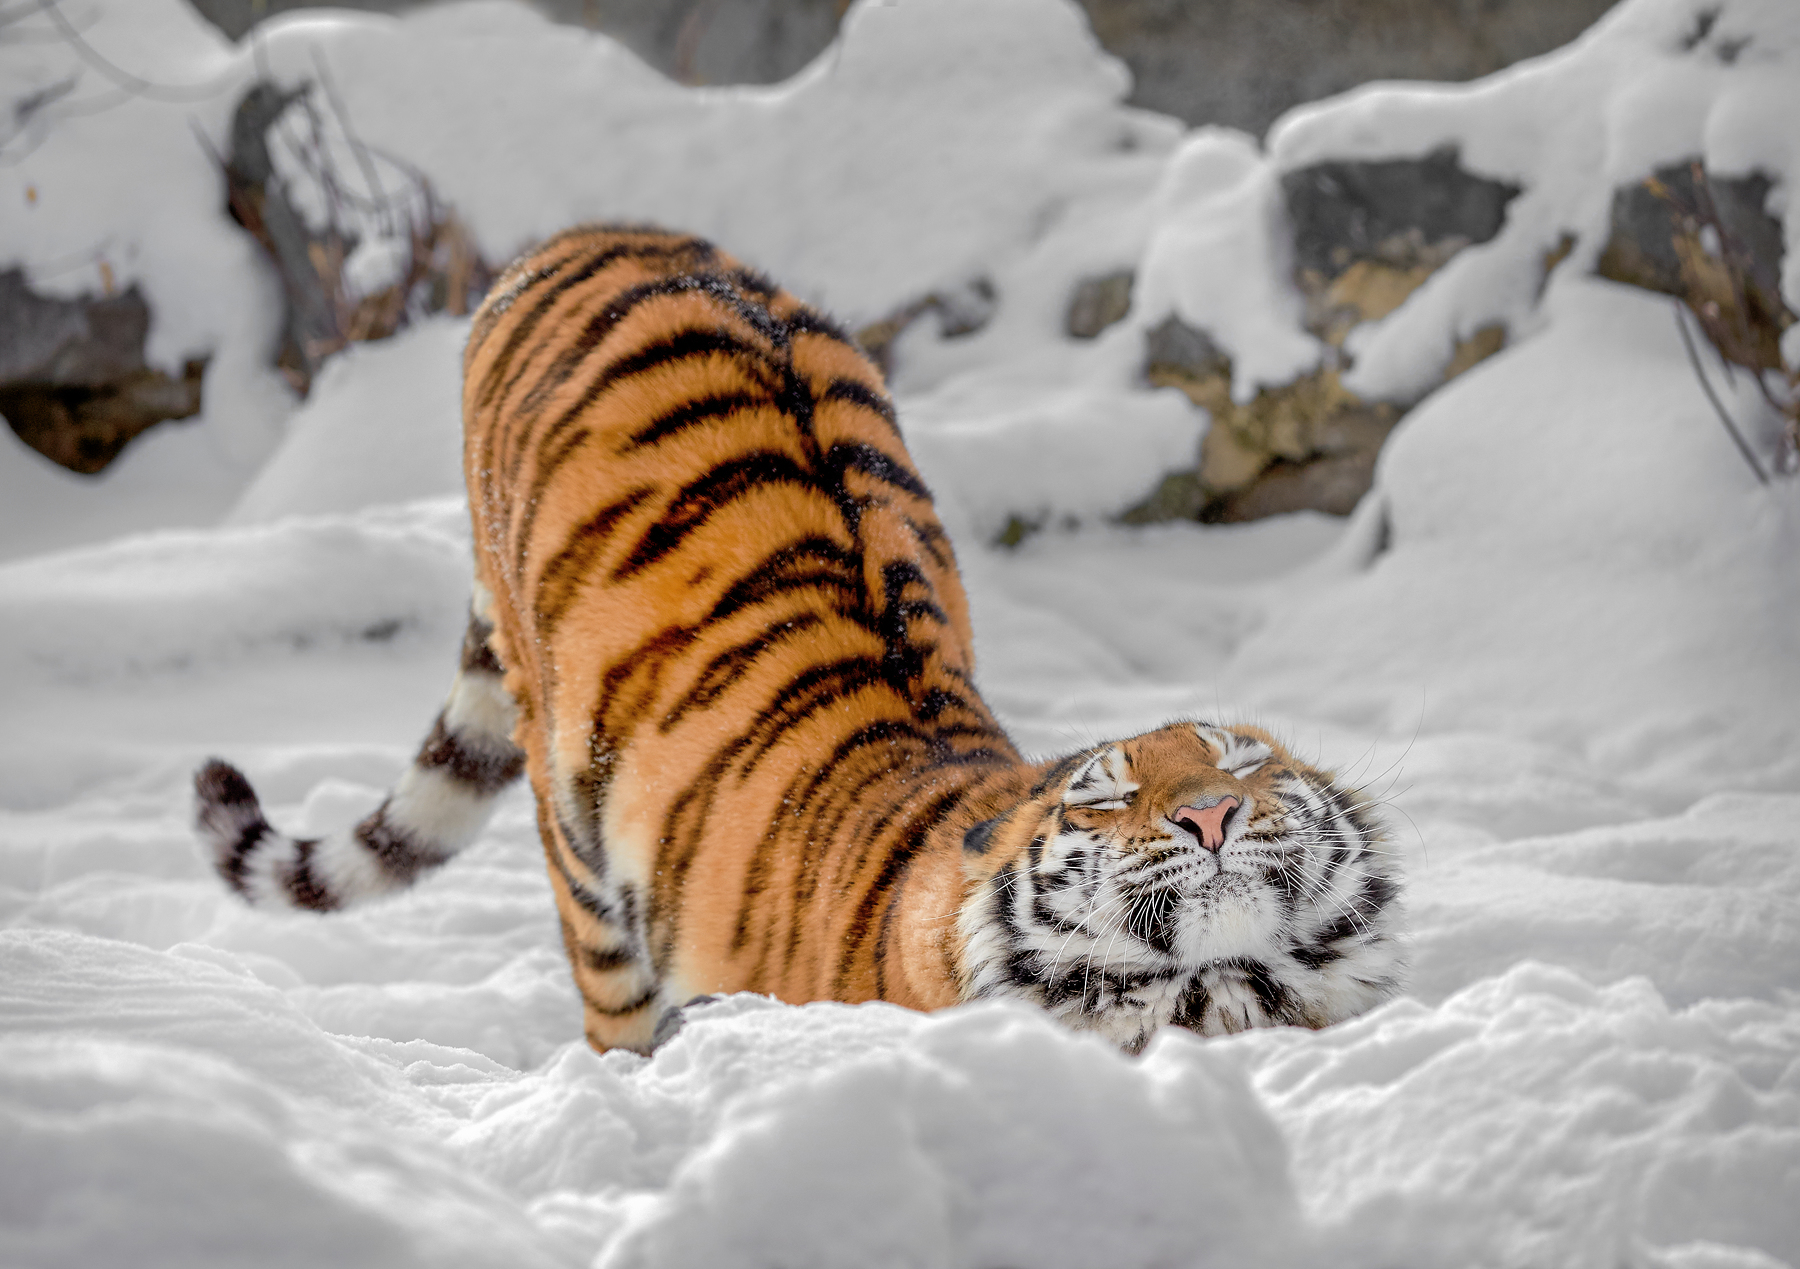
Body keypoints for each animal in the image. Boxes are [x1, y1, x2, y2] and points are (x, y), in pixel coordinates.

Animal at [197, 225, 1404, 1051]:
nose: (1211, 814)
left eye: (1243, 763)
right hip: (575, 827)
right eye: (1105, 797)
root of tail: (591, 233)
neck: (1215, 992)